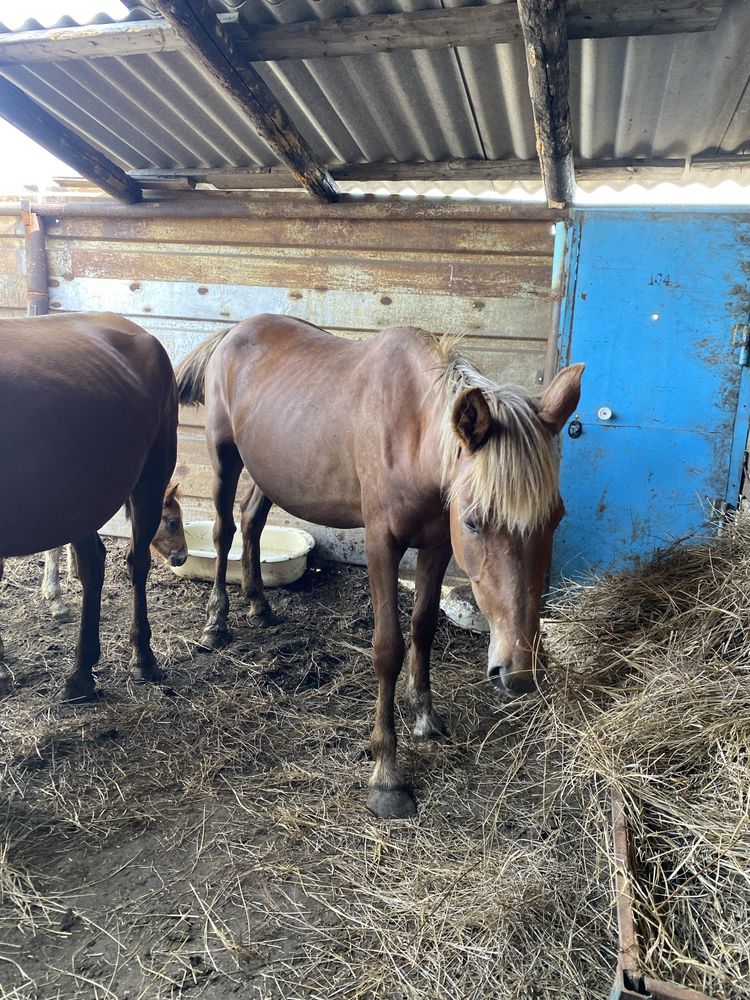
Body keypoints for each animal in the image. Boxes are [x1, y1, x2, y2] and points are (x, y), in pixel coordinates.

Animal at [0, 314, 187, 704]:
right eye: (174, 523)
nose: (181, 557)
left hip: (148, 479)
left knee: (135, 562)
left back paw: (140, 659)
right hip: (81, 496)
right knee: (92, 564)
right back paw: (82, 673)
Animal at [178, 316, 588, 816]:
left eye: (557, 518)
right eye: (473, 521)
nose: (519, 672)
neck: (411, 432)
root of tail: (235, 331)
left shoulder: (436, 545)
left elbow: (424, 627)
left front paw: (426, 717)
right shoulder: (382, 545)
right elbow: (388, 647)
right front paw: (386, 774)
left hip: (268, 469)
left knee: (251, 520)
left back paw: (259, 605)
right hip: (225, 457)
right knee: (224, 532)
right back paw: (216, 622)